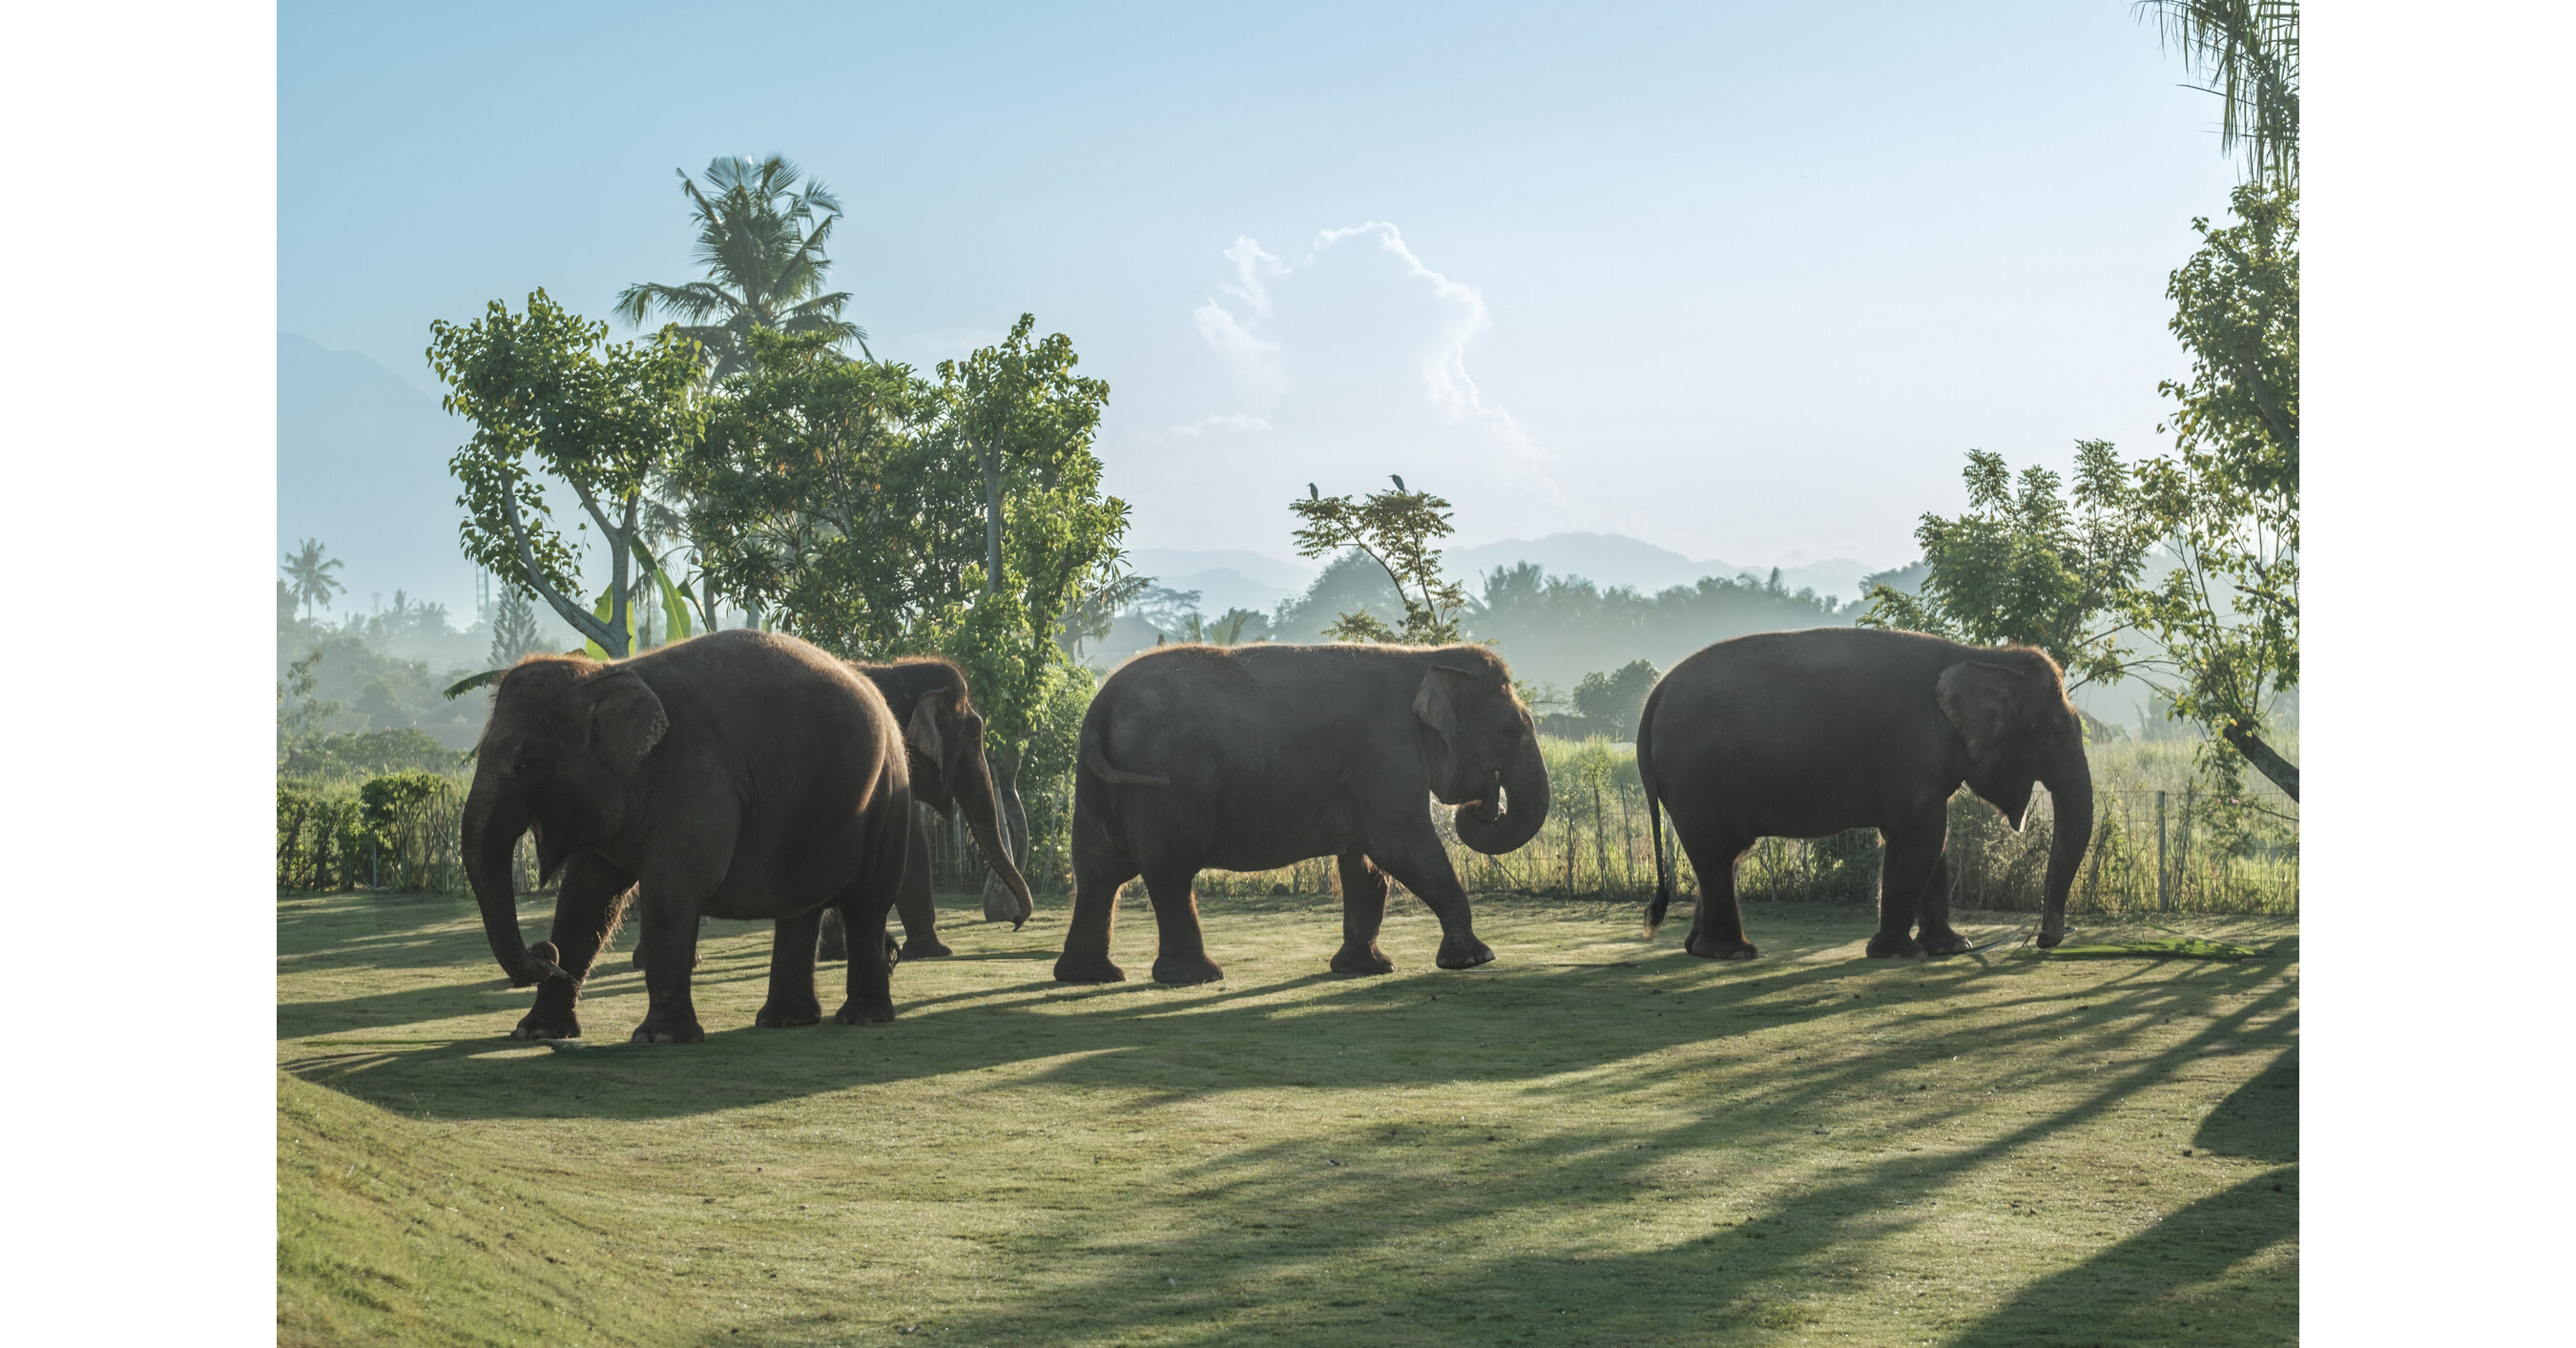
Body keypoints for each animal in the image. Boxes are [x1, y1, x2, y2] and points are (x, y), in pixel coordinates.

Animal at [462, 628, 914, 1043]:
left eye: (530, 762)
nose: (546, 954)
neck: (605, 674)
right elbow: (585, 897)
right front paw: (537, 1032)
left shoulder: (698, 779)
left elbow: (671, 889)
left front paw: (659, 1038)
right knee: (799, 910)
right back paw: (784, 1019)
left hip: (889, 799)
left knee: (867, 905)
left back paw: (862, 1018)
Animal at [1056, 642, 1551, 985]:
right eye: (1512, 730)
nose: (1481, 806)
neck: (1426, 658)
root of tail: (1101, 706)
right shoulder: (1386, 754)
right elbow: (1400, 846)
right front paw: (1473, 959)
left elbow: (1364, 866)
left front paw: (1365, 968)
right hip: (1161, 789)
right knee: (1169, 872)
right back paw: (1198, 976)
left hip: (1095, 786)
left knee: (1098, 874)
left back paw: (1091, 976)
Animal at [1637, 627, 2094, 960]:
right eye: (2055, 731)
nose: (2045, 938)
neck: (1982, 654)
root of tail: (1655, 694)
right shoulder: (1913, 747)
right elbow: (1922, 837)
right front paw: (1896, 953)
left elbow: (1935, 843)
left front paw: (1950, 948)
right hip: (1698, 778)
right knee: (1720, 853)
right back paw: (1733, 953)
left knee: (1721, 858)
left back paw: (1701, 949)